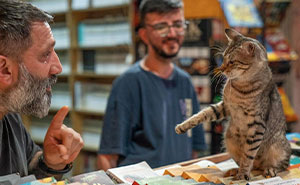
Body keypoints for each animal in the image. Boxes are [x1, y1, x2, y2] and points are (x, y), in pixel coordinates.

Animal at [176, 28, 290, 181]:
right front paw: (183, 126)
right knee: (250, 164)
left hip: (278, 147)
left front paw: (242, 175)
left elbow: (248, 155)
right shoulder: (225, 106)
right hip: (228, 139)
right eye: (223, 58)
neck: (239, 85)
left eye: (231, 61)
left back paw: (269, 169)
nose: (220, 68)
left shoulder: (257, 124)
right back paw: (234, 170)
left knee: (282, 164)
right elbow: (203, 113)